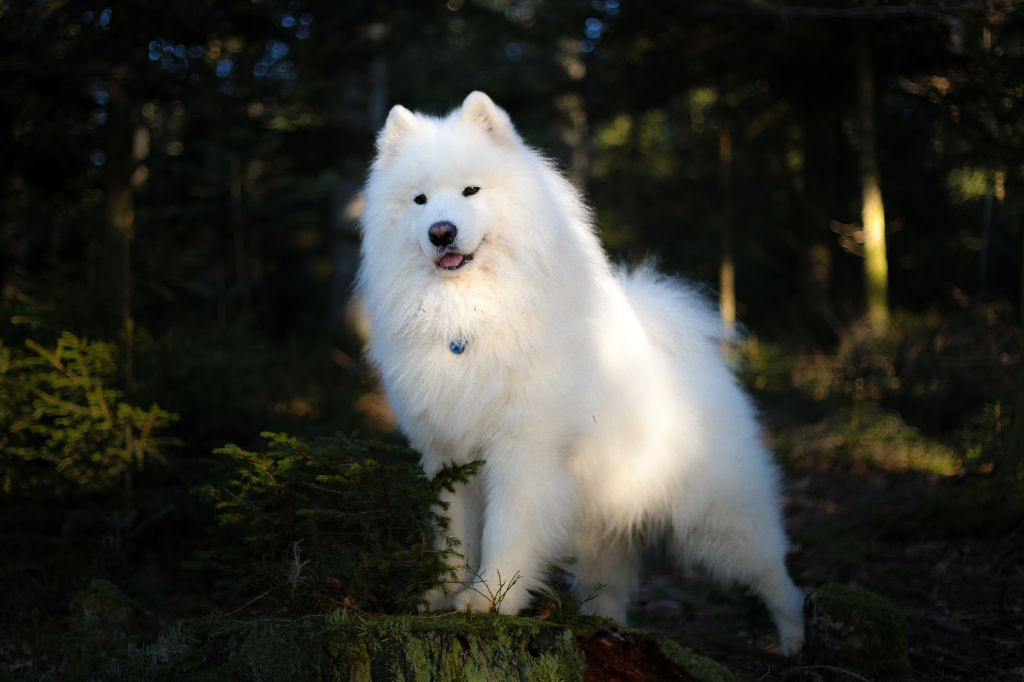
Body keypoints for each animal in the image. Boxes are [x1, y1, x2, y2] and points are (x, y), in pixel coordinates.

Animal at [356, 91, 802, 655]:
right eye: (419, 201)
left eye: (470, 190)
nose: (442, 232)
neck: (470, 317)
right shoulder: (445, 456)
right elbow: (453, 537)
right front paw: (443, 594)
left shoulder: (523, 453)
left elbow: (507, 533)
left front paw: (489, 600)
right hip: (603, 521)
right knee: (610, 586)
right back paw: (607, 629)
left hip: (719, 517)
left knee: (775, 577)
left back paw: (793, 642)